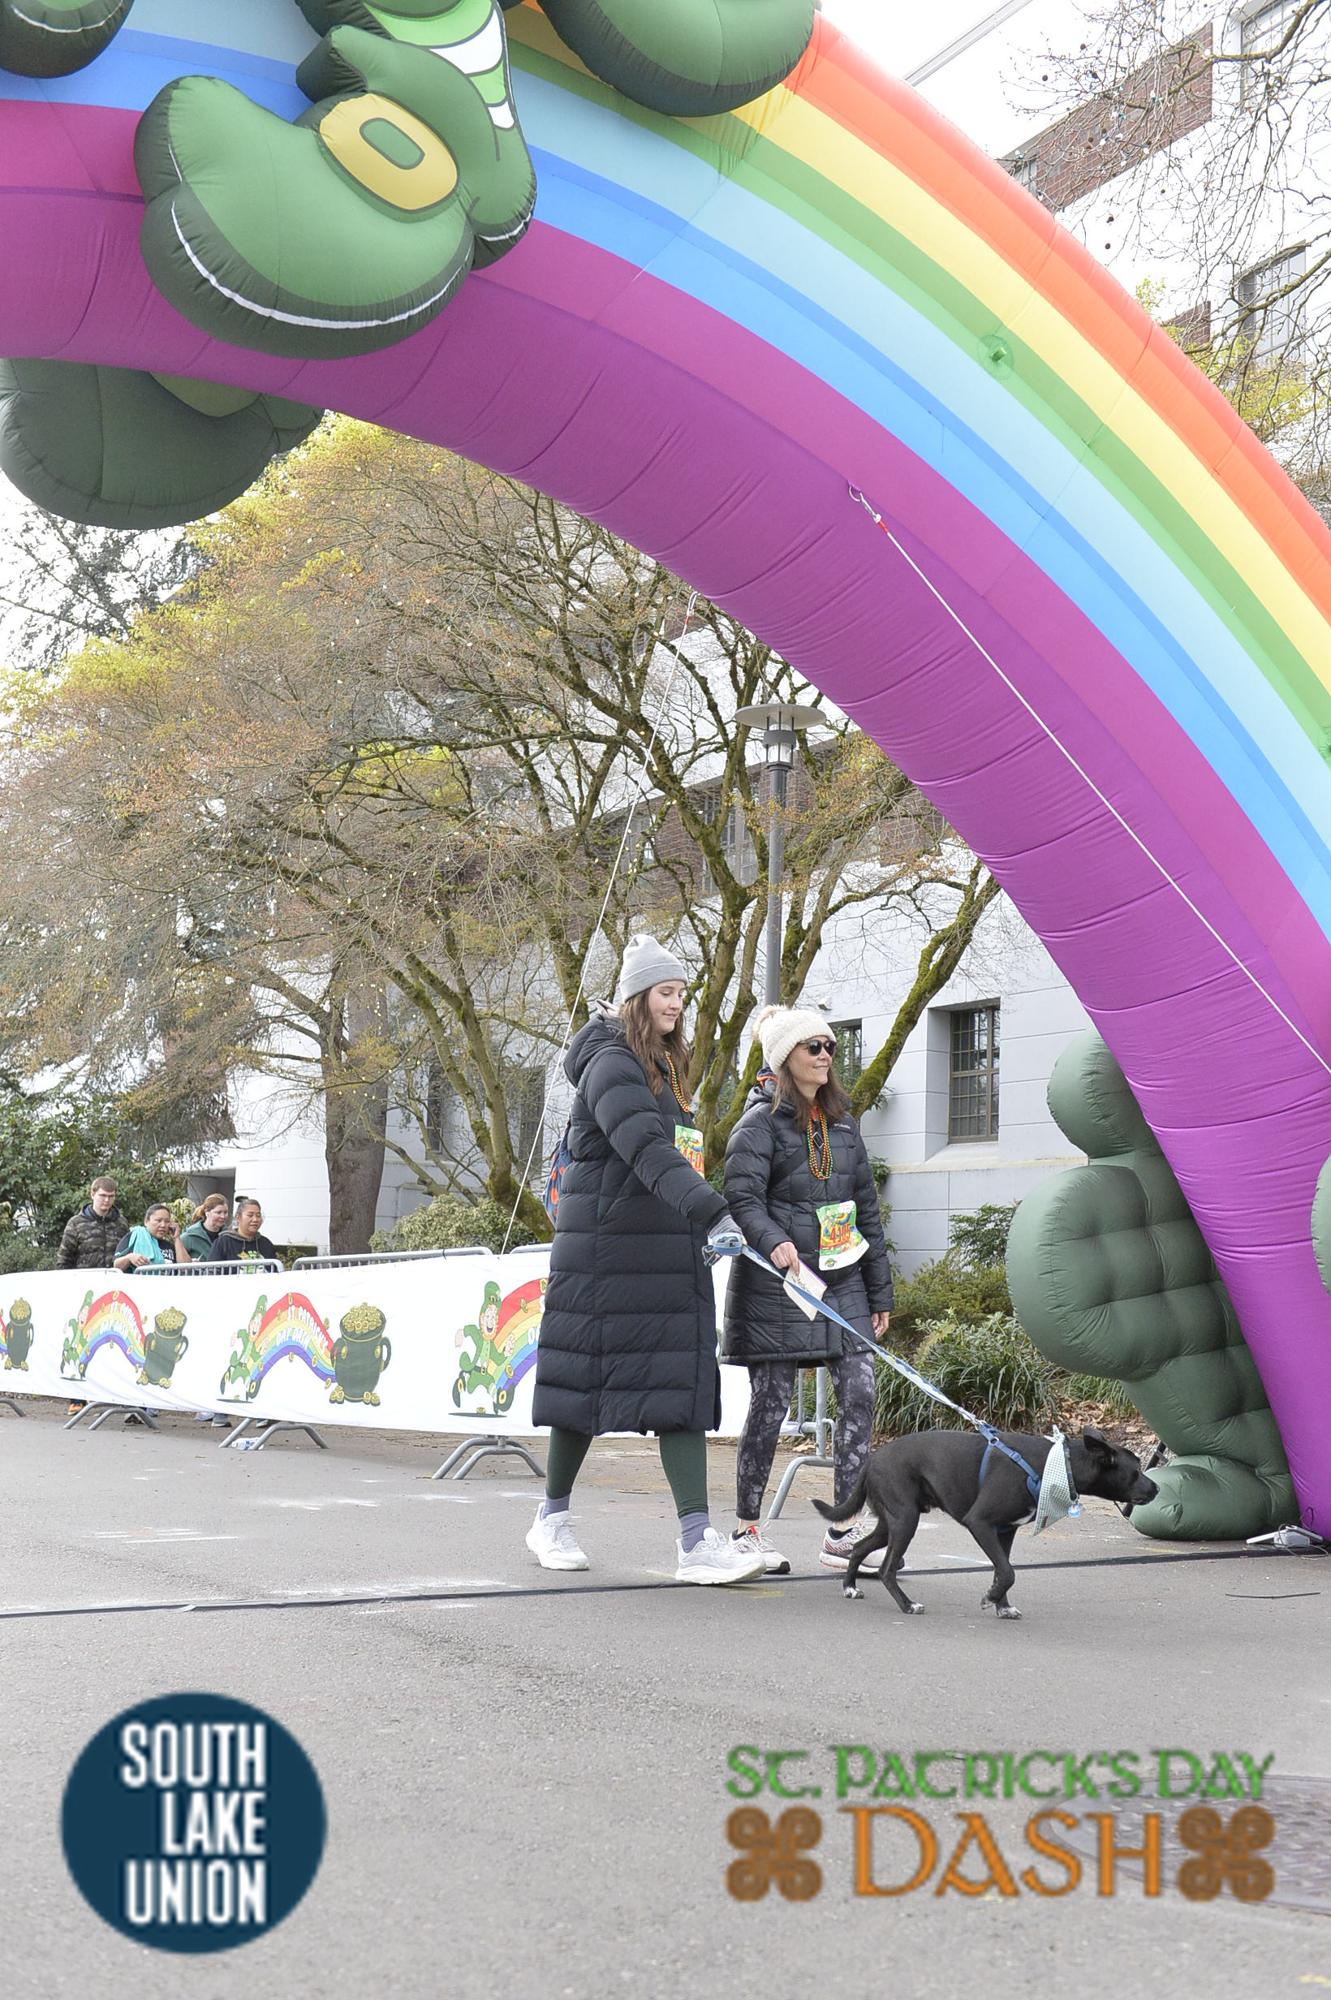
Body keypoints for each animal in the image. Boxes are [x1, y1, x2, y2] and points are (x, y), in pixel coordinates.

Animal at [812, 1427, 1158, 1620]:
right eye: (1136, 1471)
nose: (1156, 1488)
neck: (1058, 1465)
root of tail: (872, 1458)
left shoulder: (1005, 1531)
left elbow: (1002, 1570)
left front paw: (1002, 1605)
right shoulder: (980, 1523)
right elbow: (1008, 1571)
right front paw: (991, 1599)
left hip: (891, 1522)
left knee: (859, 1547)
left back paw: (850, 1588)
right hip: (905, 1520)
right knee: (886, 1569)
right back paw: (907, 1605)